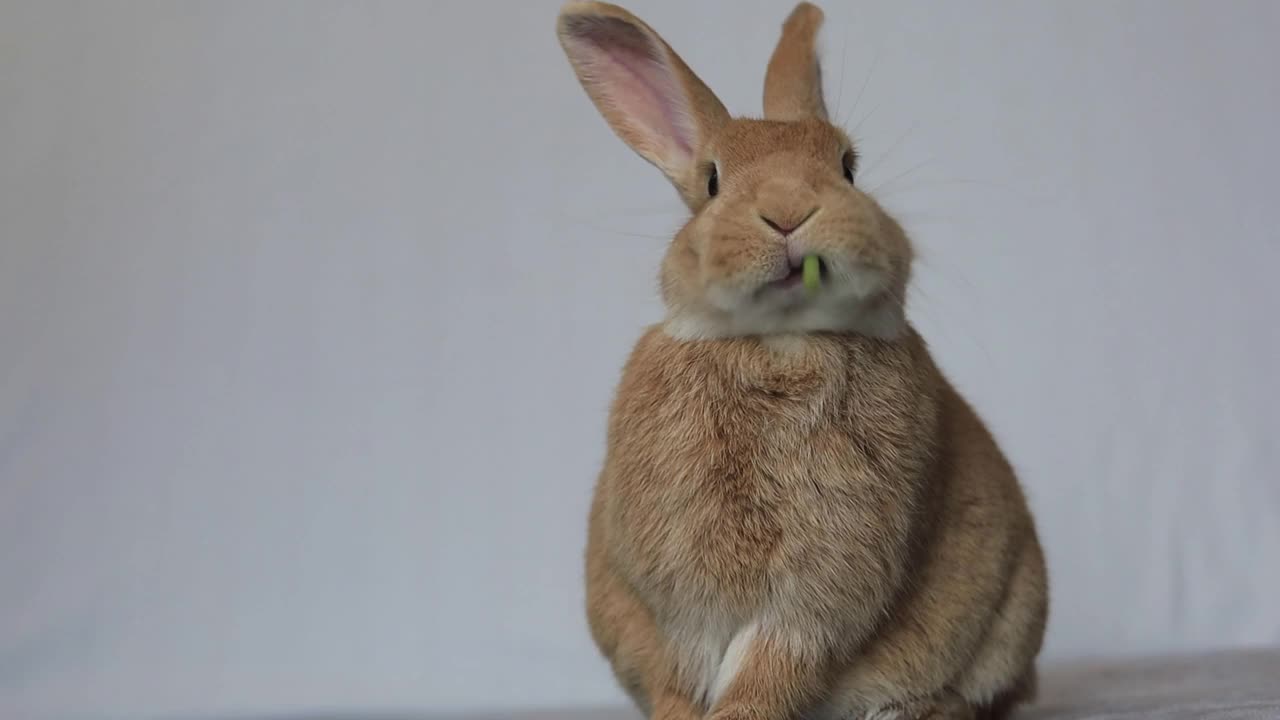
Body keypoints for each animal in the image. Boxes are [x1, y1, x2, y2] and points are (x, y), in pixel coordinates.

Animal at [555, 2, 1044, 712]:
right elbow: (679, 674)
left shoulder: (821, 585)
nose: (789, 211)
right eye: (712, 181)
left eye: (848, 167)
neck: (779, 343)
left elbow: (774, 666)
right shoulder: (674, 602)